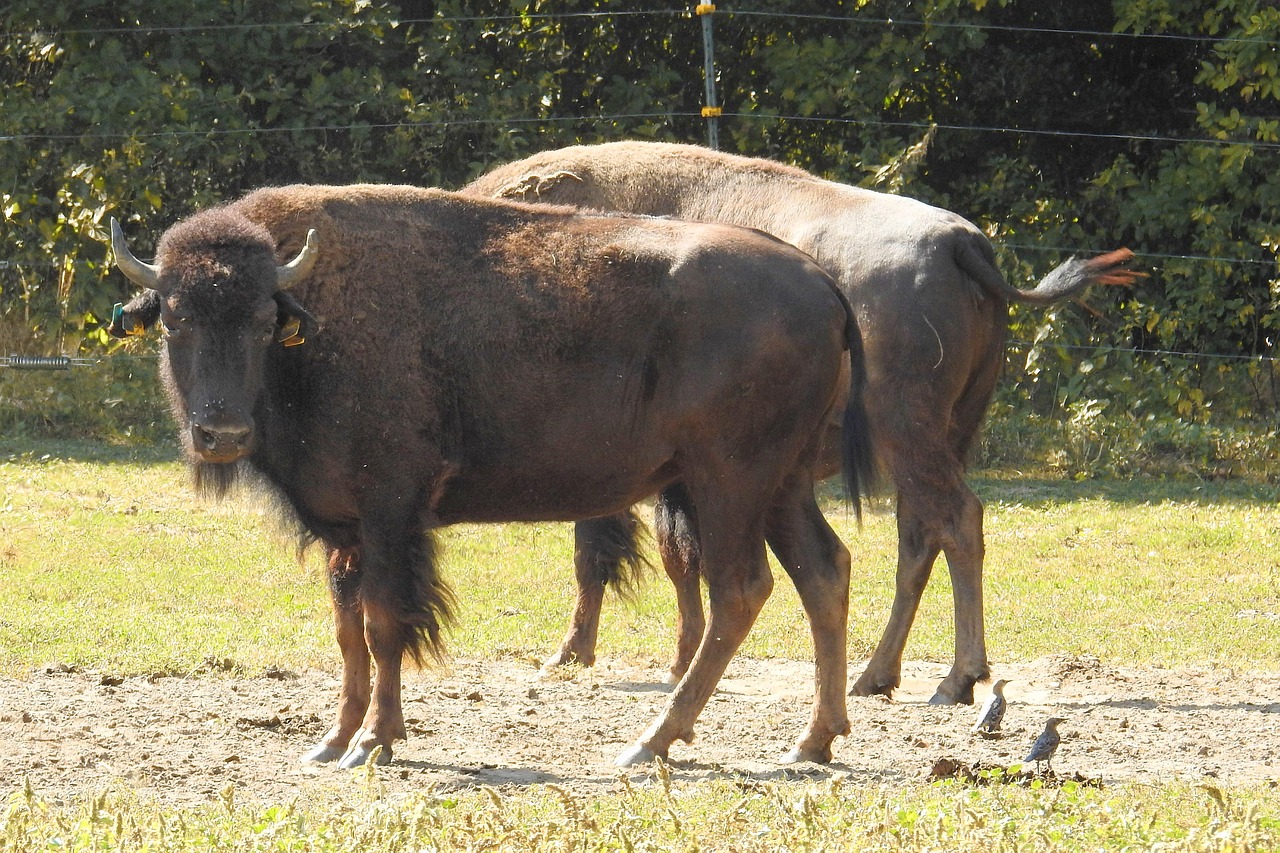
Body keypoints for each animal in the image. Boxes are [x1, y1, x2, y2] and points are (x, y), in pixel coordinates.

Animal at [110, 183, 875, 768]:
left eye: (265, 322)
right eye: (174, 319)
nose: (222, 433)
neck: (316, 319)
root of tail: (821, 282)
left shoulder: (388, 513)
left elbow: (384, 623)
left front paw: (374, 743)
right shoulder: (345, 528)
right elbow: (347, 629)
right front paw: (330, 742)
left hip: (728, 484)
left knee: (741, 590)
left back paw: (649, 744)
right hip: (780, 485)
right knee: (823, 571)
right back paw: (813, 740)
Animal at [465, 142, 1146, 701]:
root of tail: (961, 242)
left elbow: (619, 553)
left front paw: (578, 656)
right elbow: (677, 556)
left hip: (906, 431)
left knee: (956, 520)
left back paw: (955, 680)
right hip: (945, 434)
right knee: (920, 533)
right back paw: (877, 677)